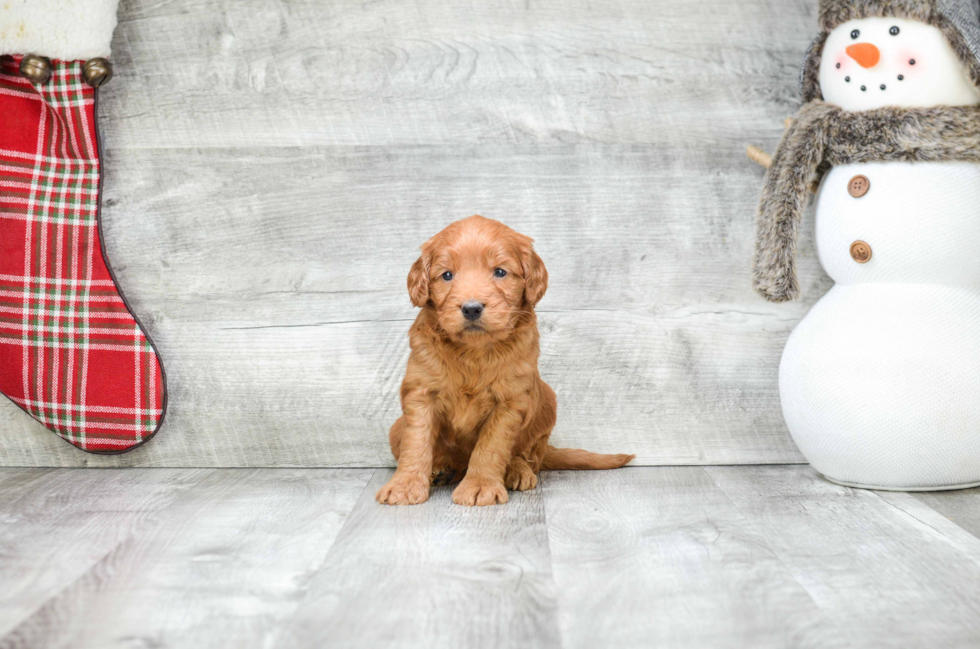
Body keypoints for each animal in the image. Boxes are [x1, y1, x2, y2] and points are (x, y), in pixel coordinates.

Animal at [376, 214, 636, 506]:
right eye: (447, 275)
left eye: (500, 272)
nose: (471, 308)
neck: (474, 352)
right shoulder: (421, 391)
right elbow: (417, 441)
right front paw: (405, 485)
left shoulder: (510, 400)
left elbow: (491, 447)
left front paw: (480, 486)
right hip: (395, 428)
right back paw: (441, 468)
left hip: (547, 401)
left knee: (528, 455)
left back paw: (516, 470)